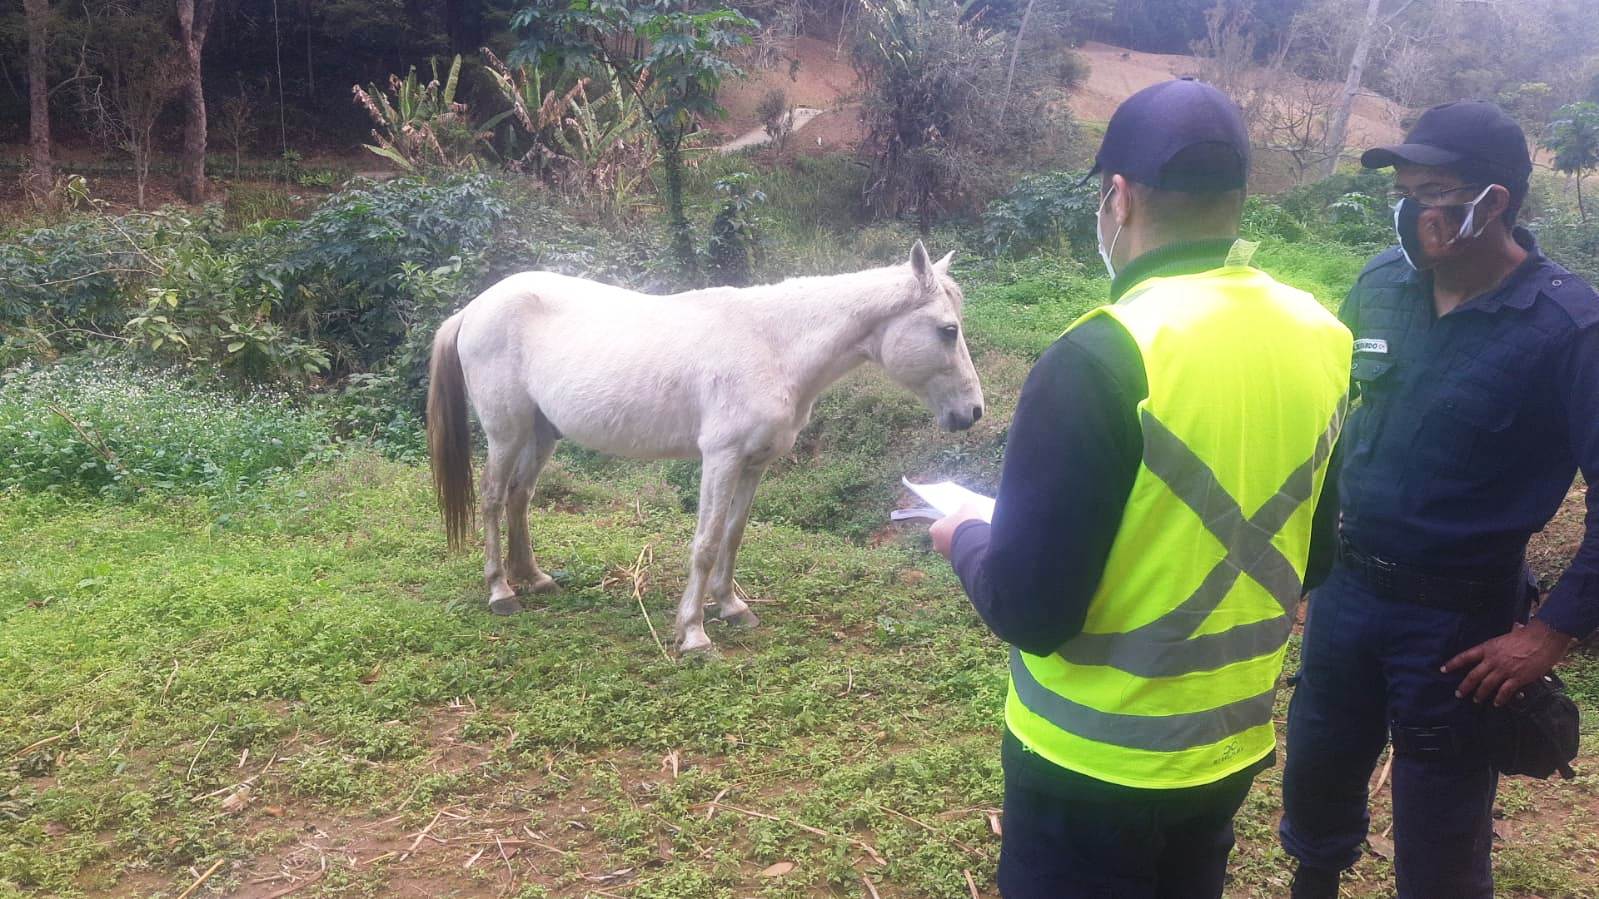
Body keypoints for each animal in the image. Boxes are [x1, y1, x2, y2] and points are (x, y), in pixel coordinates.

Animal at [425, 241, 978, 649]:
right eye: (948, 330)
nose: (972, 412)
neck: (773, 344)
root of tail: (473, 308)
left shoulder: (754, 464)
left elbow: (732, 536)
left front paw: (731, 607)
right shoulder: (721, 458)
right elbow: (706, 541)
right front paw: (693, 633)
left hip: (541, 433)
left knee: (520, 497)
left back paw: (535, 578)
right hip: (506, 432)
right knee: (493, 500)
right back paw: (501, 591)